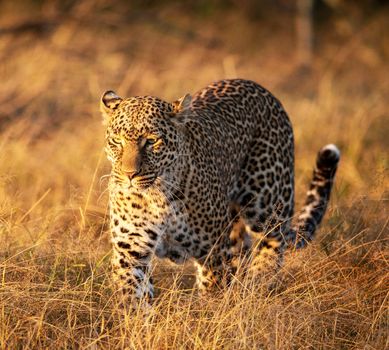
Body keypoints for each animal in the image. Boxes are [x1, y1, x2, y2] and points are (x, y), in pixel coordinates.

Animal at [100, 78, 340, 304]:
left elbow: (212, 293)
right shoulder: (130, 250)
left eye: (151, 141)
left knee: (274, 239)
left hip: (267, 202)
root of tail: (257, 87)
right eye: (116, 141)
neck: (158, 195)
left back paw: (259, 283)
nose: (129, 175)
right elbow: (134, 298)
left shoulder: (212, 252)